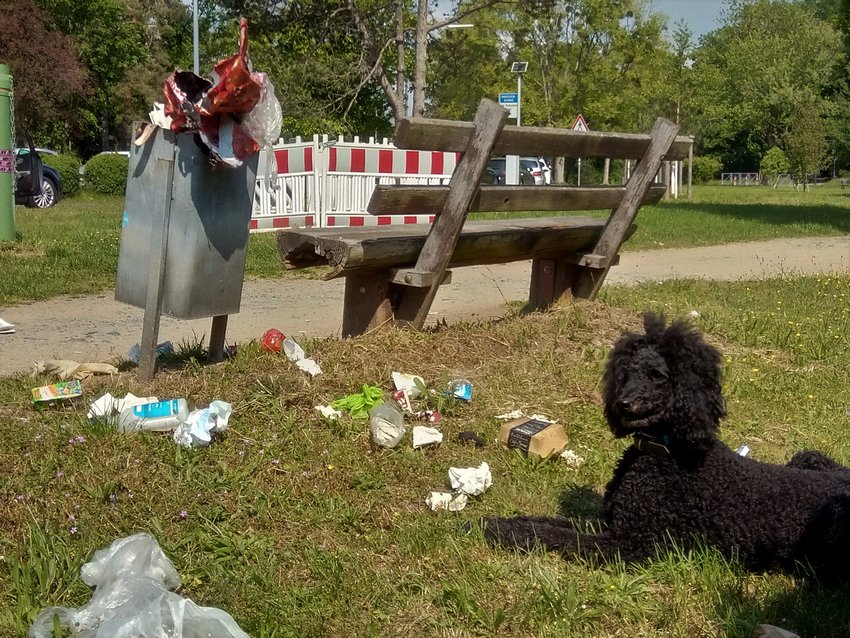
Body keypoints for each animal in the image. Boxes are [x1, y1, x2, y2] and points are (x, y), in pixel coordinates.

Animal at [484, 314, 850, 584]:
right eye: (627, 373)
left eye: (658, 376)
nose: (623, 402)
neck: (665, 450)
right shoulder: (612, 522)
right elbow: (548, 522)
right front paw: (499, 521)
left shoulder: (627, 545)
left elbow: (553, 535)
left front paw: (498, 530)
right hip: (808, 455)